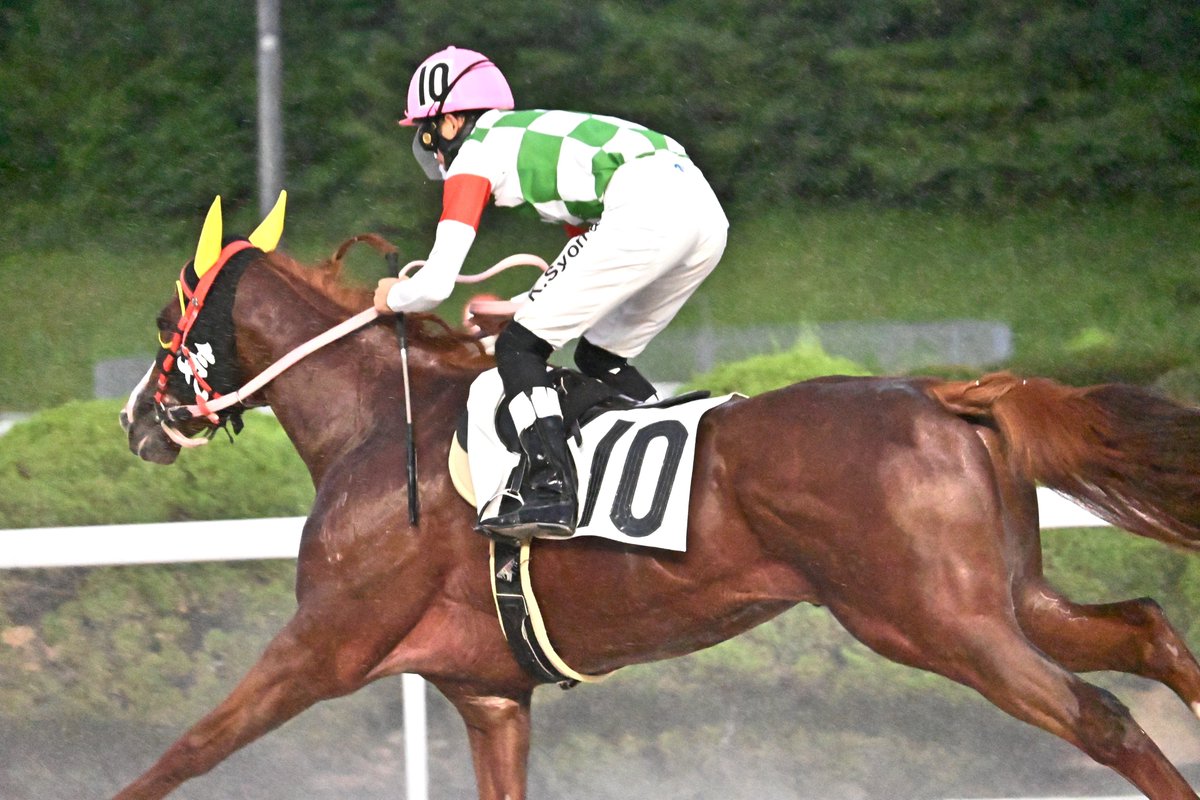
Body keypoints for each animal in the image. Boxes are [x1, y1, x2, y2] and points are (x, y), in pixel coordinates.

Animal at [118, 227, 1200, 800]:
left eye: (167, 326)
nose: (137, 418)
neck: (381, 419)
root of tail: (947, 392)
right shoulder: (488, 693)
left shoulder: (325, 643)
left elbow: (184, 750)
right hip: (1003, 593)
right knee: (1144, 629)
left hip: (933, 618)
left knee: (1100, 713)